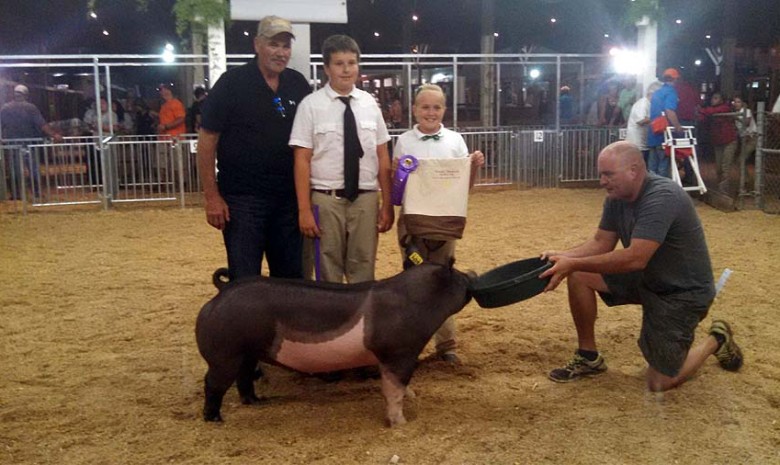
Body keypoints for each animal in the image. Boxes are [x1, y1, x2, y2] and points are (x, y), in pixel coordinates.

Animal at [197, 260, 476, 424]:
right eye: (458, 276)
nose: (472, 273)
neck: (416, 301)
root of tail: (221, 293)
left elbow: (399, 385)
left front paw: (412, 396)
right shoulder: (399, 352)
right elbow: (394, 389)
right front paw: (401, 423)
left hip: (246, 353)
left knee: (243, 378)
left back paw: (257, 401)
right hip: (224, 355)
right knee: (212, 384)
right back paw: (215, 419)